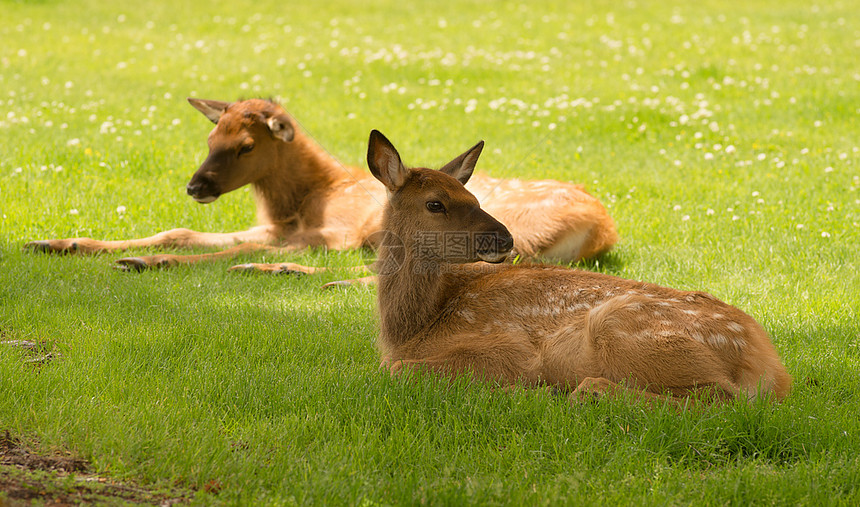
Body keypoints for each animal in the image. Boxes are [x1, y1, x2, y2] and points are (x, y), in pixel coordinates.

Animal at [25, 96, 620, 278]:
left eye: (246, 145)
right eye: (211, 134)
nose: (196, 185)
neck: (302, 200)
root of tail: (604, 231)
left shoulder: (333, 234)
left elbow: (219, 249)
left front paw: (147, 262)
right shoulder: (274, 227)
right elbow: (181, 232)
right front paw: (57, 241)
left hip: (505, 235)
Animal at [370, 130, 792, 404]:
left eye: (473, 197)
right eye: (435, 203)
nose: (504, 238)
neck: (414, 327)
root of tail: (770, 367)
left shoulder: (509, 345)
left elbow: (395, 369)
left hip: (625, 329)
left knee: (722, 398)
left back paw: (578, 391)